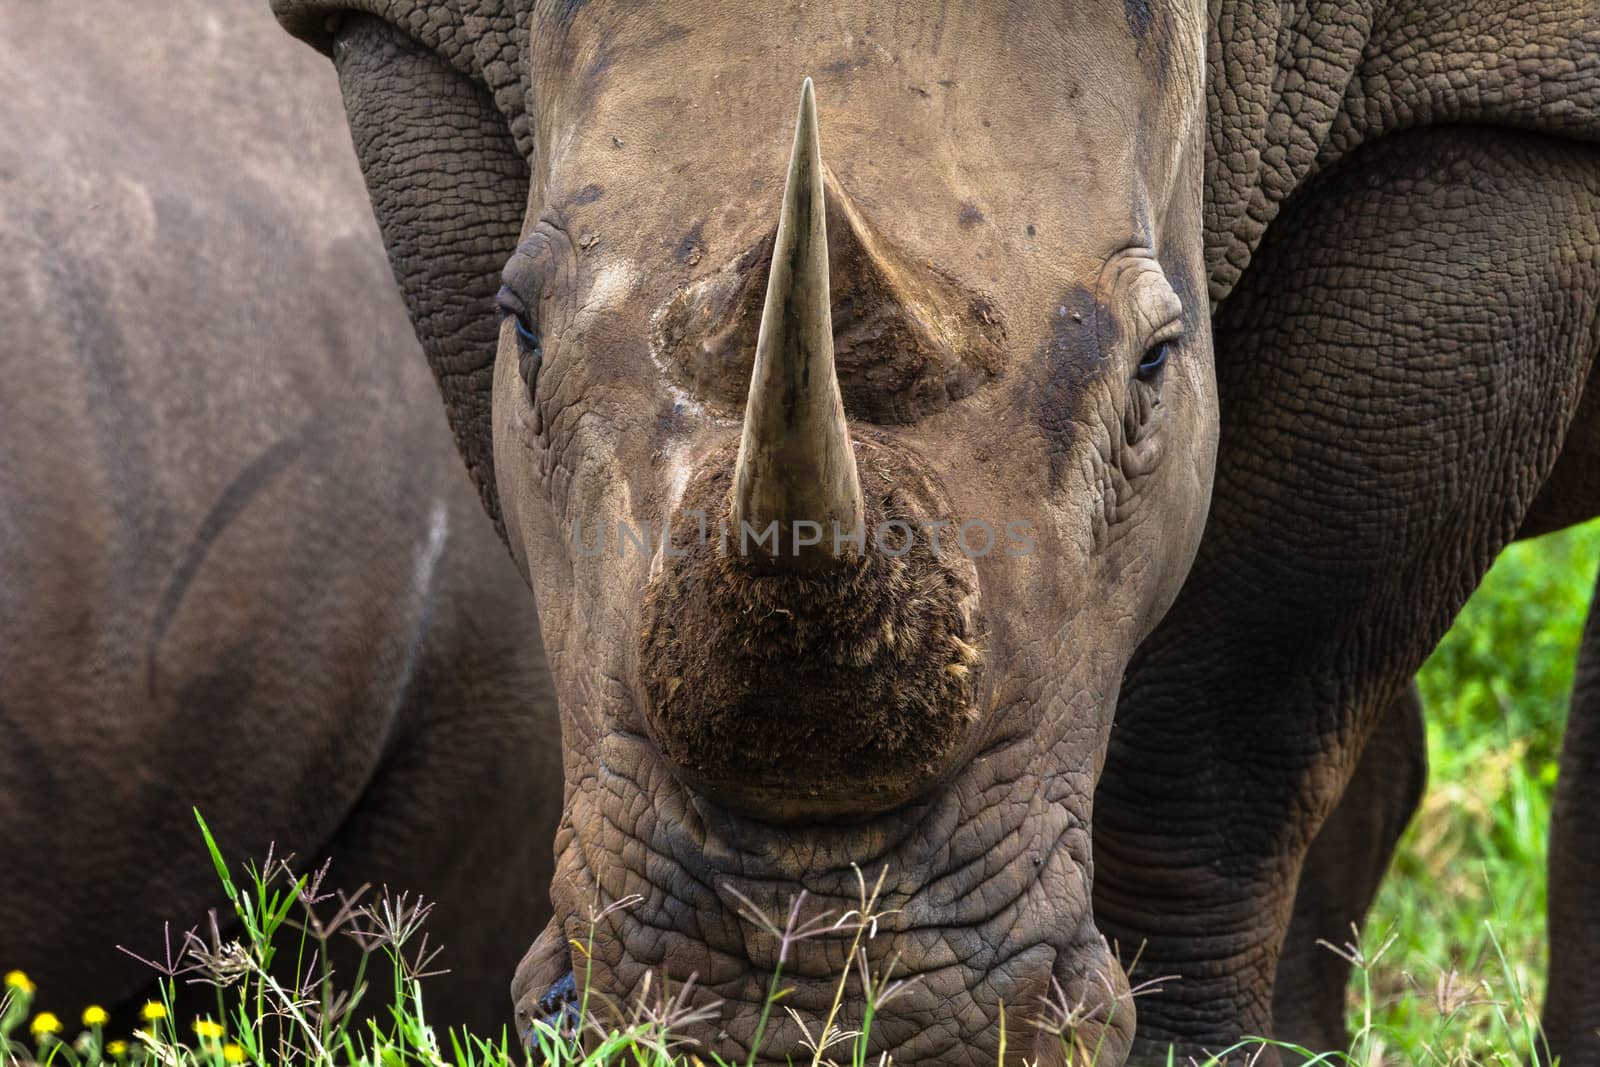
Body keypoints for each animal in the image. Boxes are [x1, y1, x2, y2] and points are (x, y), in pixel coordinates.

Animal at [268, 0, 1593, 1062]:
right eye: (522, 327)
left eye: (1158, 360)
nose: (800, 1011)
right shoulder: (413, 42)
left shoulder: (1507, 118)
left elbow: (1232, 717)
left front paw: (1176, 1050)